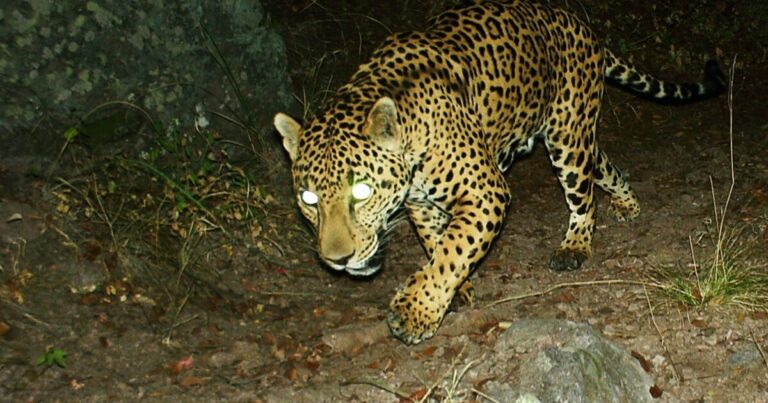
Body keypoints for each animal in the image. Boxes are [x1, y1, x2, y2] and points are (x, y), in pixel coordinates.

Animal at [274, 0, 726, 344]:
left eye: (362, 192)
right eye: (308, 199)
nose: (338, 260)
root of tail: (578, 23)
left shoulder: (485, 191)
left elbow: (452, 250)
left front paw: (416, 312)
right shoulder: (421, 205)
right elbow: (438, 244)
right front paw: (453, 291)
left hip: (567, 138)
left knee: (582, 196)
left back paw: (575, 246)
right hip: (577, 134)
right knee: (604, 165)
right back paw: (628, 203)